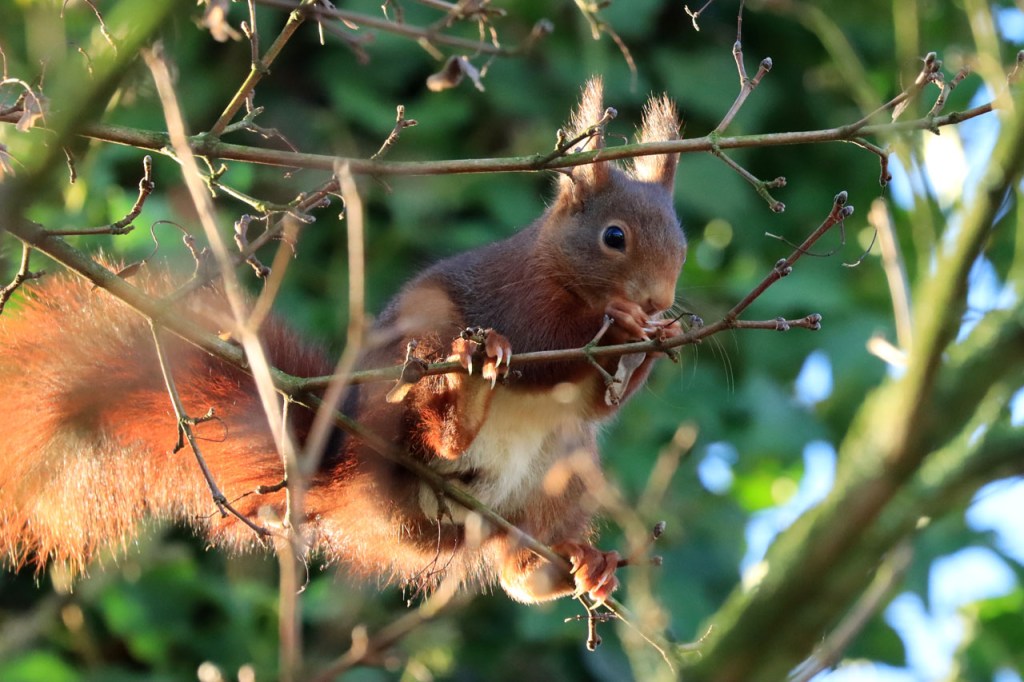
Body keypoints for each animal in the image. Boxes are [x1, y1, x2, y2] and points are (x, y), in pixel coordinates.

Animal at [0, 78, 685, 605]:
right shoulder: (521, 298)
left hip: (562, 474)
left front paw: (659, 336)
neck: (557, 269)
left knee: (517, 566)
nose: (659, 298)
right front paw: (626, 320)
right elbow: (546, 349)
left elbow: (599, 403)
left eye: (680, 239)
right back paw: (463, 406)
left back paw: (575, 565)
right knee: (434, 437)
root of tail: (355, 480)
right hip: (406, 394)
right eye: (614, 237)